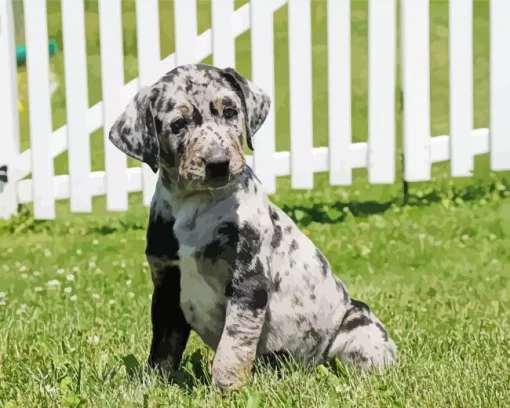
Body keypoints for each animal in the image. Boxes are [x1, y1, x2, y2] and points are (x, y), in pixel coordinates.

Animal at [107, 62, 396, 390]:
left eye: (231, 112)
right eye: (178, 124)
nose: (218, 163)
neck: (194, 204)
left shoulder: (248, 282)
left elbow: (233, 346)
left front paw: (226, 388)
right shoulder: (167, 284)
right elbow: (163, 349)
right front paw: (154, 385)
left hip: (358, 328)